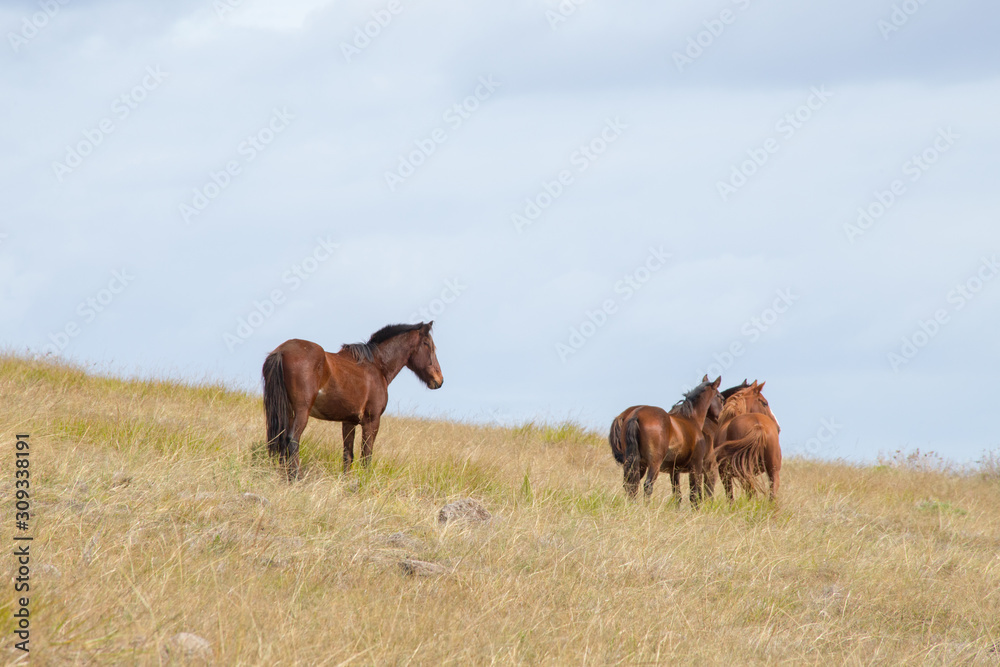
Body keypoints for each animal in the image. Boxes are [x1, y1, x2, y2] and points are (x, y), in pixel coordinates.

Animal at [262, 320, 442, 478]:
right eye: (427, 344)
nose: (439, 380)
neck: (376, 366)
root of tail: (282, 351)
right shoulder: (371, 421)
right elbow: (366, 455)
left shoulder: (348, 422)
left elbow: (348, 455)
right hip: (301, 412)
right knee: (292, 440)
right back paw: (296, 477)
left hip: (286, 411)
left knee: (281, 440)